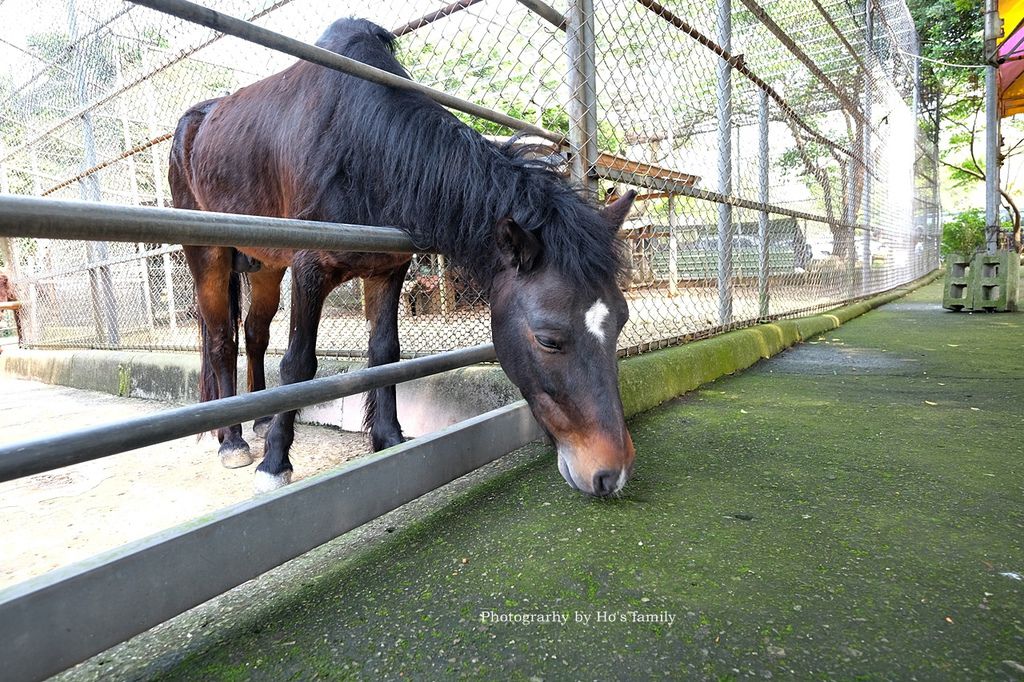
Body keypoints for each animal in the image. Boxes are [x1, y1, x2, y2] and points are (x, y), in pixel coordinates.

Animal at [172, 15, 634, 493]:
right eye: (548, 339)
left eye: (621, 321)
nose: (611, 473)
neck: (357, 141)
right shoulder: (309, 269)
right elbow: (298, 364)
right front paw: (275, 463)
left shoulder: (388, 270)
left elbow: (385, 353)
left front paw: (389, 439)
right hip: (209, 255)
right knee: (221, 340)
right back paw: (232, 440)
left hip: (266, 266)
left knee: (254, 333)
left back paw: (261, 419)